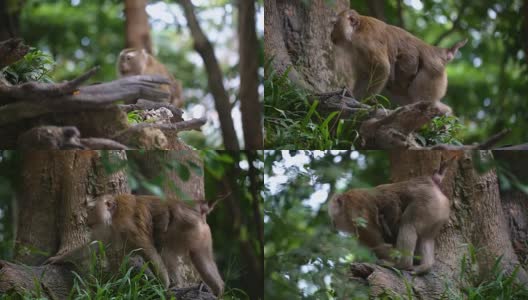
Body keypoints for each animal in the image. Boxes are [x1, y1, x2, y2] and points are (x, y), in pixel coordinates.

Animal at [326, 154, 458, 274]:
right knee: (426, 237)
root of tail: (431, 185)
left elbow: (377, 241)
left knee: (408, 224)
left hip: (426, 203)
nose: (333, 225)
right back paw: (425, 266)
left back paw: (402, 264)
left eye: (334, 218)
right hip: (437, 210)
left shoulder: (356, 212)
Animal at [330, 9, 466, 115]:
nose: (331, 34)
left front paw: (361, 100)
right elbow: (364, 74)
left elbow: (382, 68)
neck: (357, 29)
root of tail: (436, 51)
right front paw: (351, 94)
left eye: (335, 24)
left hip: (432, 72)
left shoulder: (365, 42)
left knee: (421, 98)